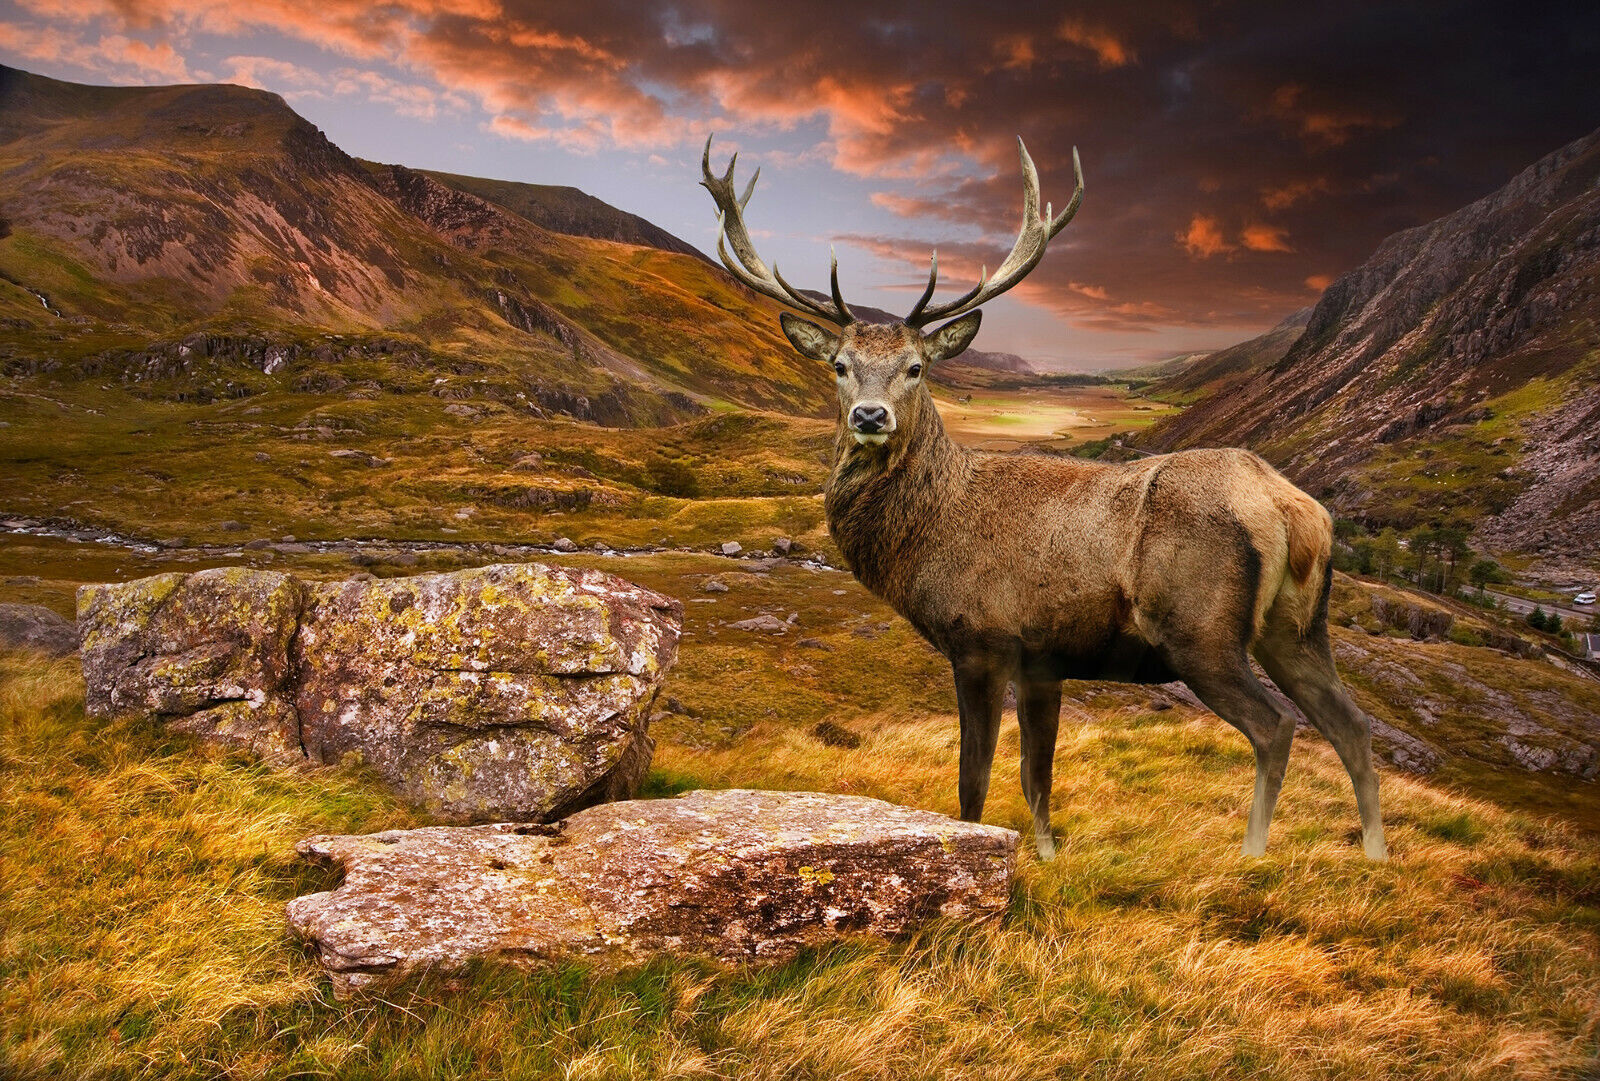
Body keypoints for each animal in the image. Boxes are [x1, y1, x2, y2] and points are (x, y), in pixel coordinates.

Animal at [700, 136, 1387, 862]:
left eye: (916, 367)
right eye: (839, 365)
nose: (869, 416)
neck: (928, 538)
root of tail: (1293, 509)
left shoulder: (982, 638)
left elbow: (974, 778)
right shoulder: (1044, 662)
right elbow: (1037, 777)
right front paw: (1047, 856)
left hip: (1200, 630)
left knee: (1276, 727)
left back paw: (1253, 853)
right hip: (1298, 628)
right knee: (1352, 724)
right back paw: (1376, 855)